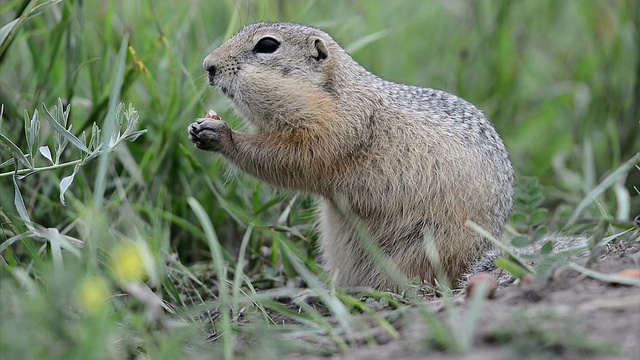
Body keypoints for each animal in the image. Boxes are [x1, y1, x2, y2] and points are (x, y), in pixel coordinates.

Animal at [189, 21, 516, 290]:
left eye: (267, 45)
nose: (208, 65)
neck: (336, 95)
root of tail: (481, 253)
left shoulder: (336, 129)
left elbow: (289, 158)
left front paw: (222, 134)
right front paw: (196, 128)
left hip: (426, 247)